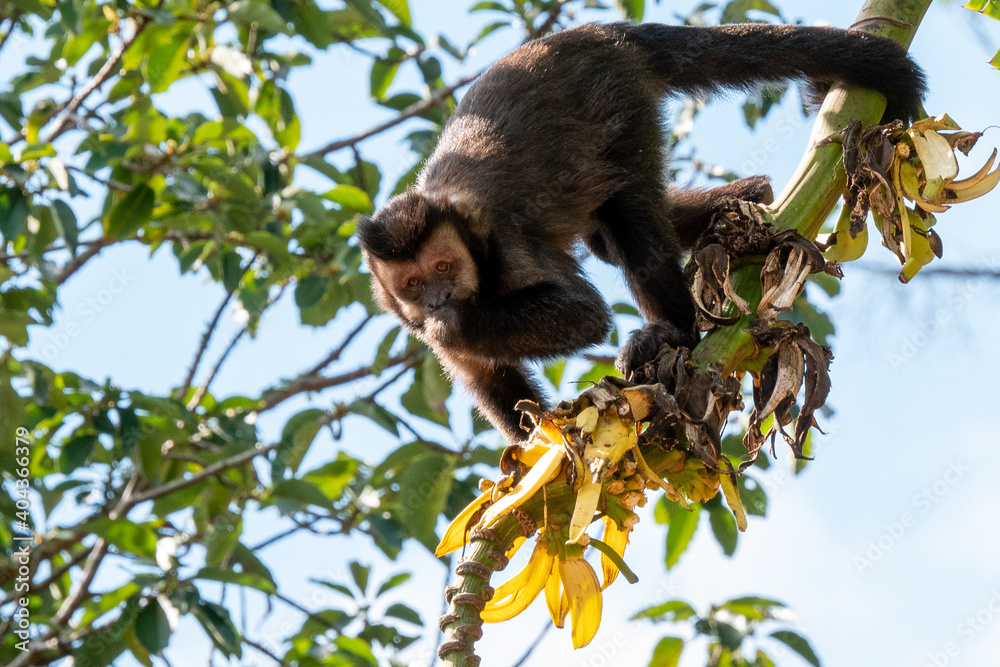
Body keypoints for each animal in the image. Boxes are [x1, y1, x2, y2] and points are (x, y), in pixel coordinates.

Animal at [358, 21, 926, 443]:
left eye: (445, 267)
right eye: (413, 284)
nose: (437, 299)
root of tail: (596, 32)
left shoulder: (503, 247)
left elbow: (583, 316)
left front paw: (451, 323)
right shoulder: (406, 314)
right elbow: (488, 377)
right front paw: (529, 461)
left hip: (617, 100)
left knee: (630, 221)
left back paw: (675, 334)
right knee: (608, 237)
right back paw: (749, 205)